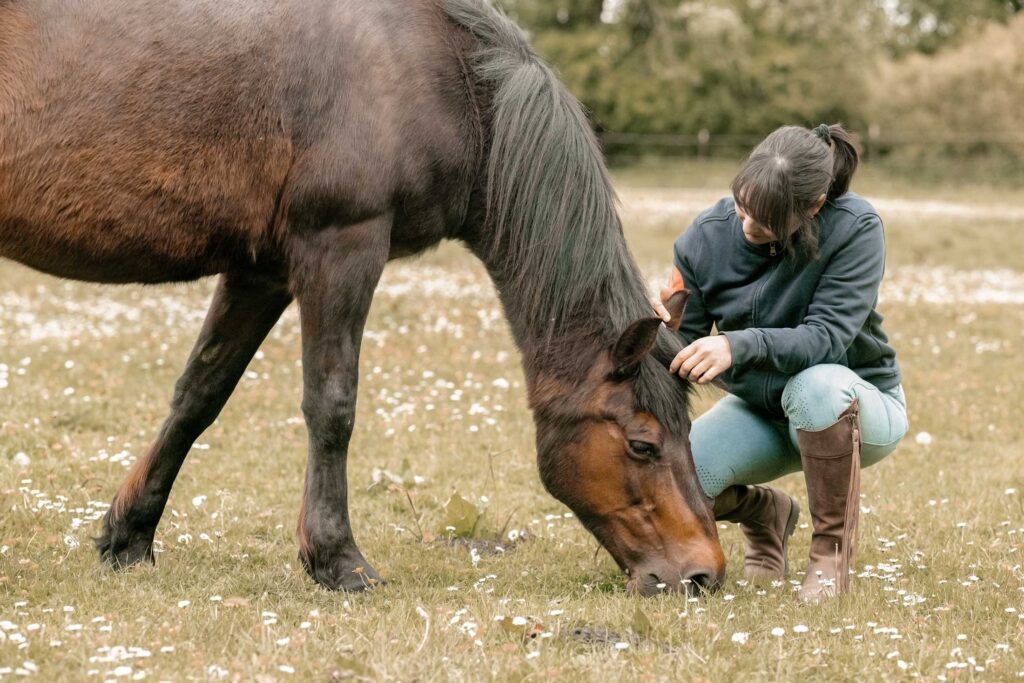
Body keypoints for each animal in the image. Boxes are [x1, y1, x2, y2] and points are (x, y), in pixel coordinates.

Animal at [0, 0, 726, 596]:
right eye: (642, 444)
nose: (703, 574)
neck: (439, 73)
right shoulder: (341, 248)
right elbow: (332, 406)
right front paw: (337, 560)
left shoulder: (261, 273)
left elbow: (198, 397)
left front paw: (128, 537)